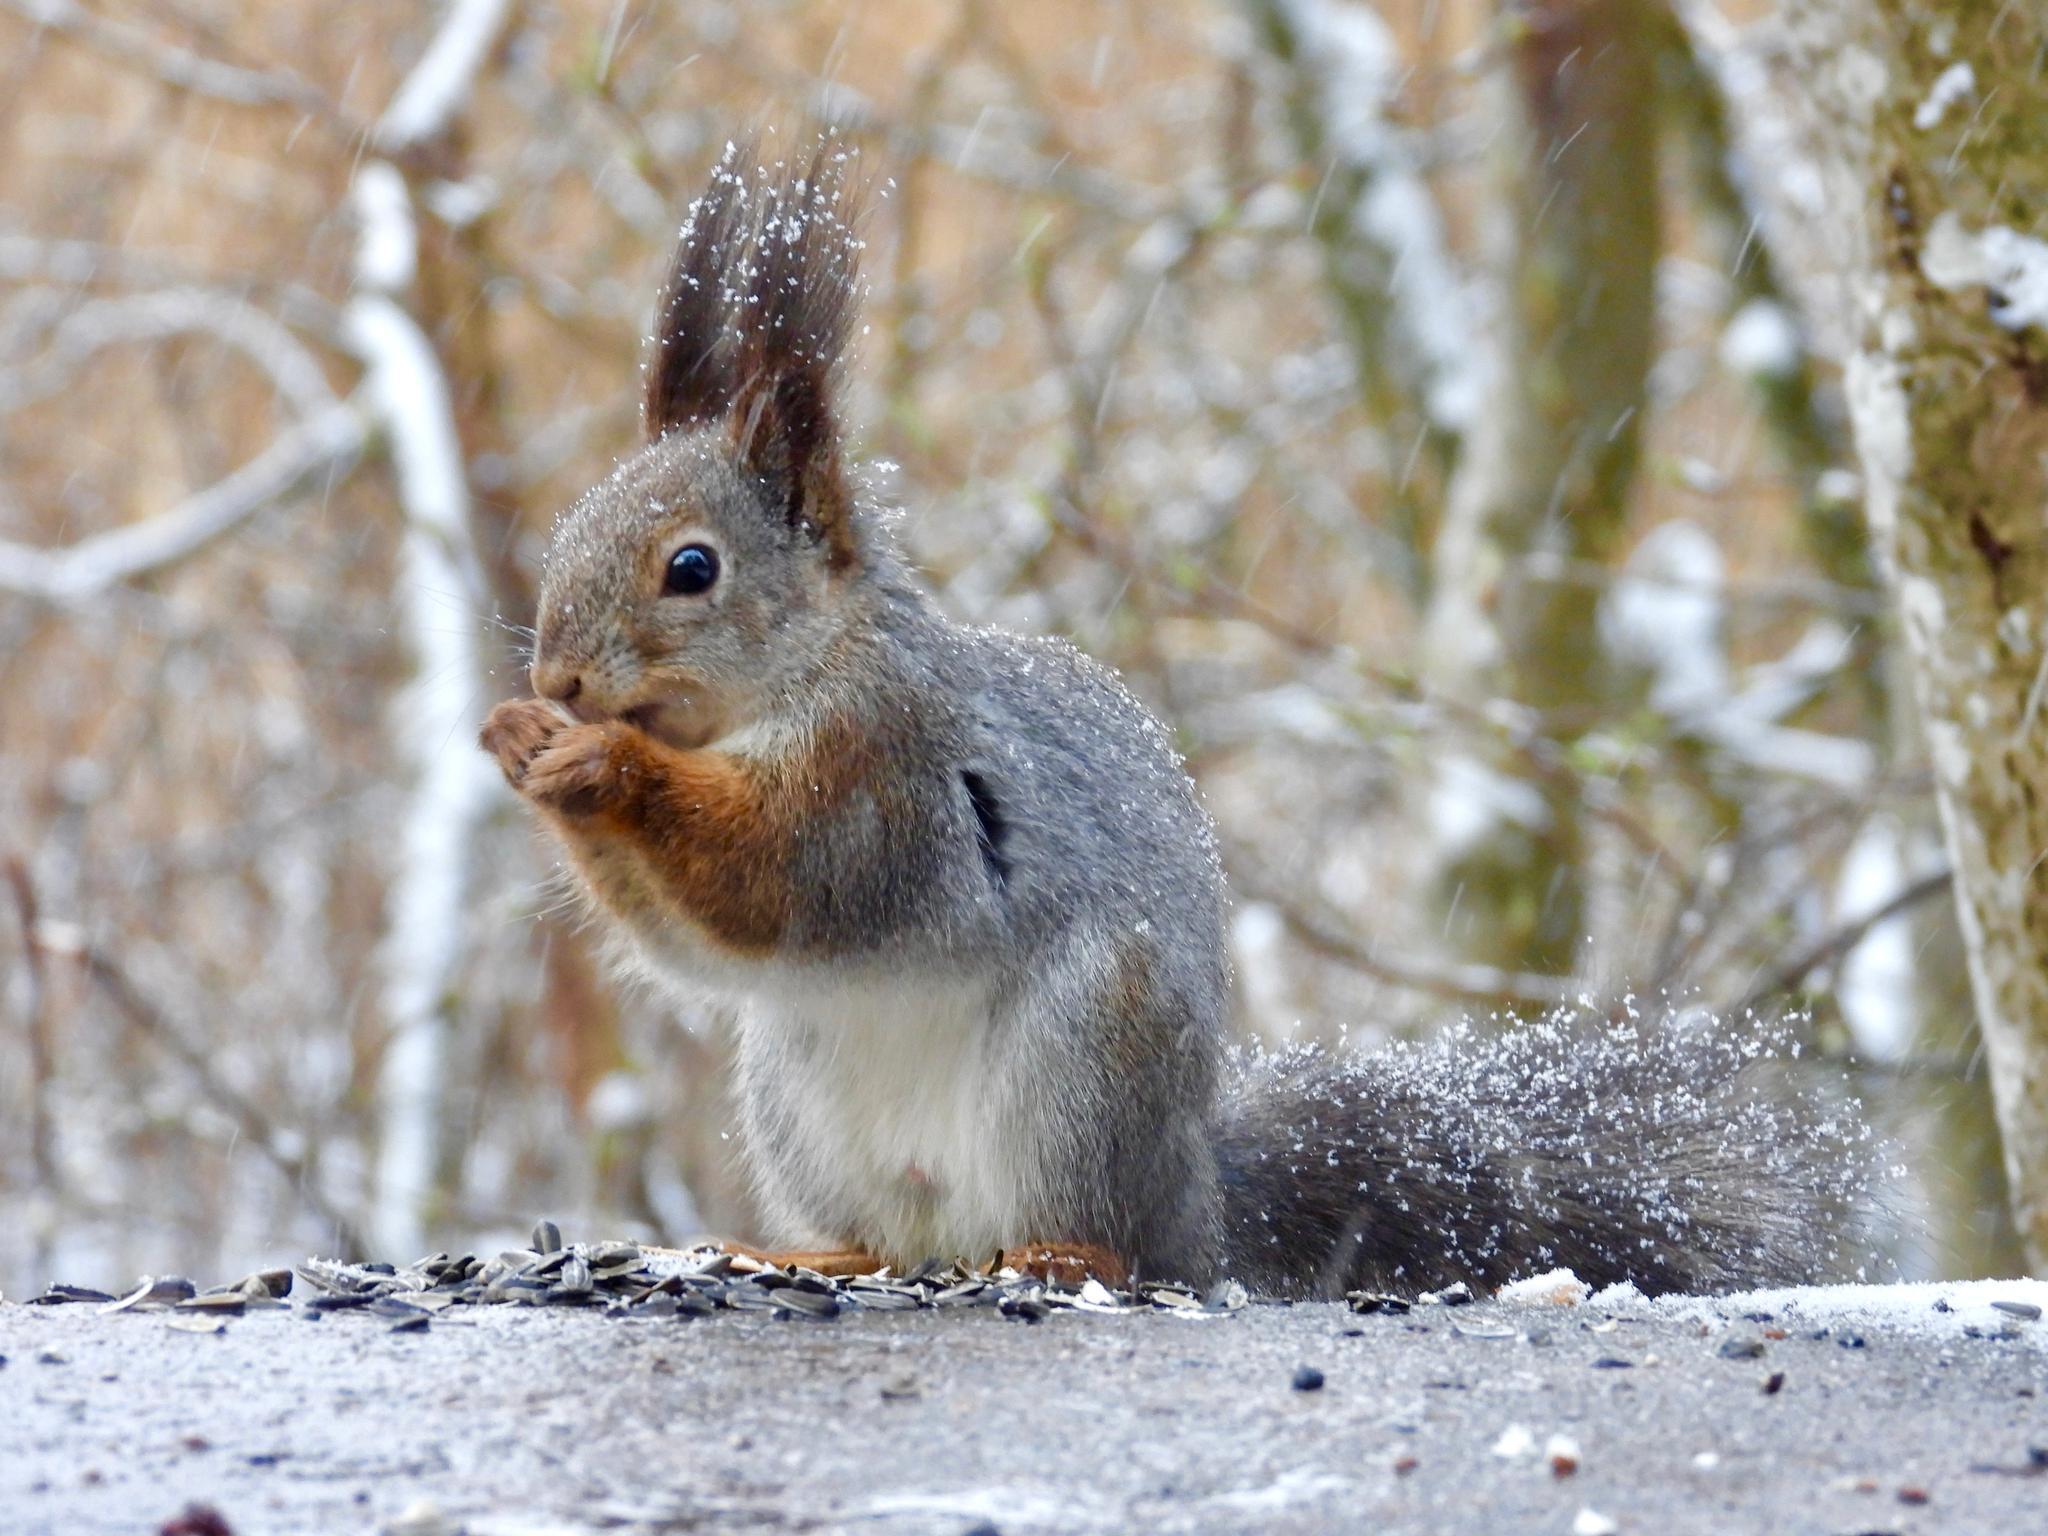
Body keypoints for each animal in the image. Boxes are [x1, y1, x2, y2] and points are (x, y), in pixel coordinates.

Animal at [479, 141, 1875, 1302]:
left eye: (692, 568)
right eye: (576, 521)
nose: (558, 679)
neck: (786, 681)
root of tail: (1198, 1205)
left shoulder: (886, 773)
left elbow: (776, 877)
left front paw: (600, 762)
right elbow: (692, 949)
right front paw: (519, 742)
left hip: (1084, 1057)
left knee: (1107, 1243)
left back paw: (1062, 1255)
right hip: (795, 1094)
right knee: (884, 1240)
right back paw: (810, 1250)